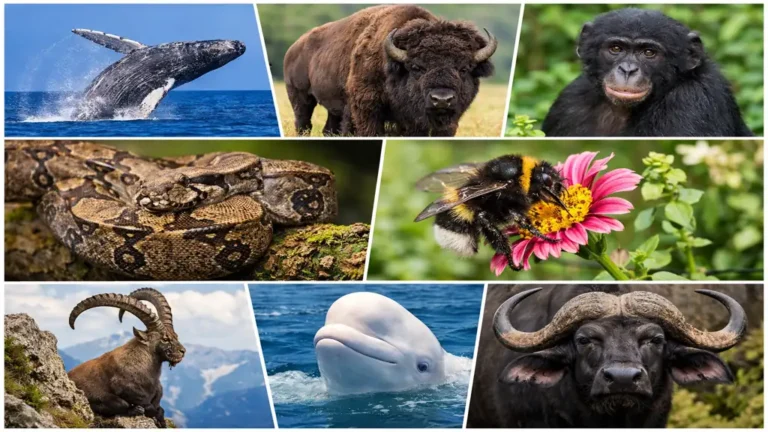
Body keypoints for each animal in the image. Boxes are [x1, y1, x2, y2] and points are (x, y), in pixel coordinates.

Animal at [283, 5, 497, 137]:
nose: (442, 99)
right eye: (416, 67)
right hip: (300, 97)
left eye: (464, 68)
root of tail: (293, 48)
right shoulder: (366, 110)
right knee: (303, 123)